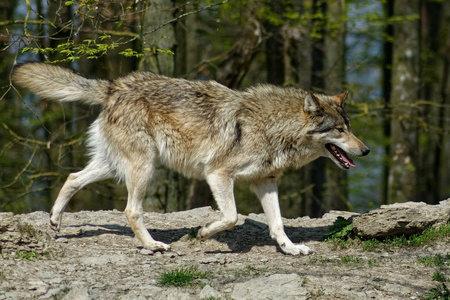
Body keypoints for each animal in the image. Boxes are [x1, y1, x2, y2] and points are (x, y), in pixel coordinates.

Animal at [12, 62, 370, 255]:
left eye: (350, 128)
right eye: (339, 130)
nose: (365, 150)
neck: (274, 126)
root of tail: (114, 86)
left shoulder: (264, 182)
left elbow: (278, 223)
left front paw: (291, 248)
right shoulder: (217, 174)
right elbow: (232, 216)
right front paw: (205, 233)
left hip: (113, 166)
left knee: (72, 178)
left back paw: (55, 221)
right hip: (143, 168)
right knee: (131, 210)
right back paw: (153, 245)